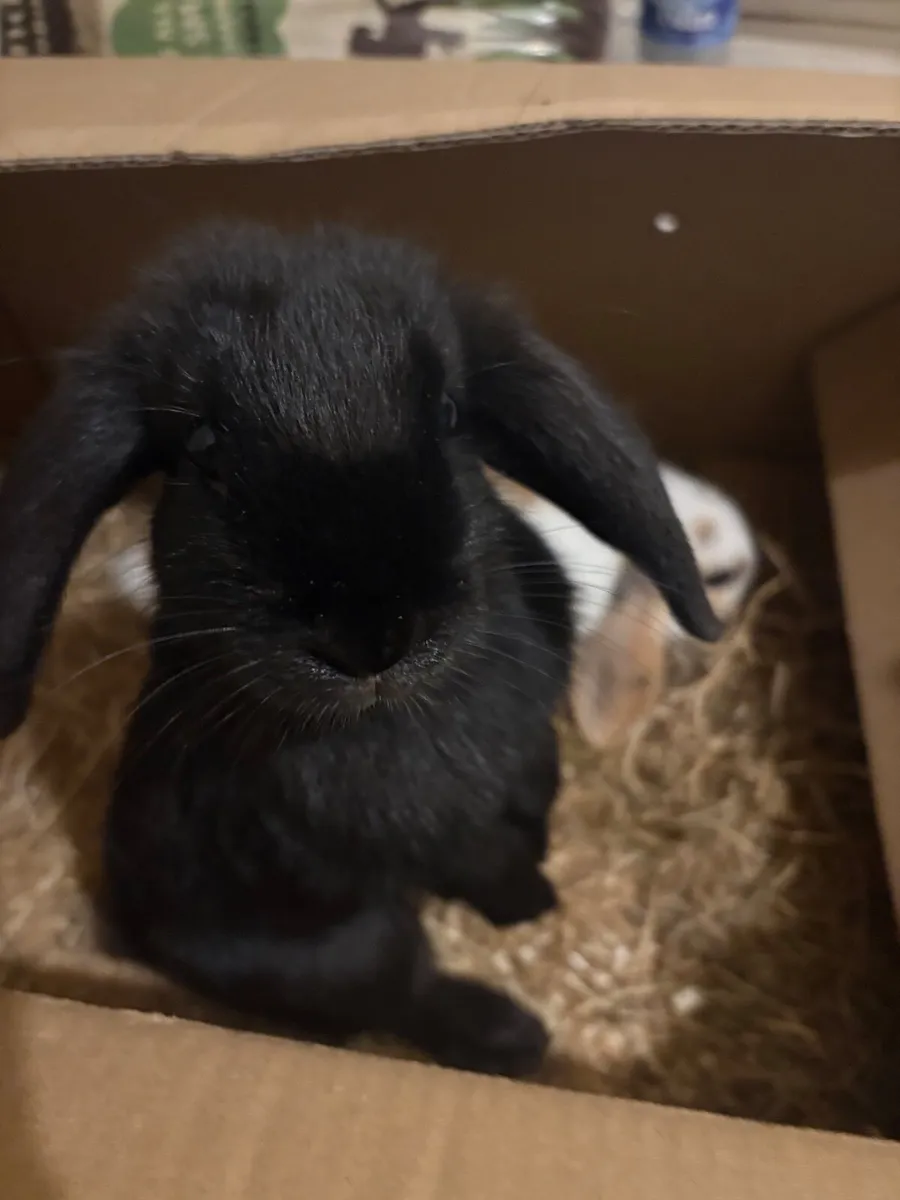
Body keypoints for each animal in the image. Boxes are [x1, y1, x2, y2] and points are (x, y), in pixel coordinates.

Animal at [0, 221, 720, 1077]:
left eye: (449, 412)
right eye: (202, 443)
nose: (372, 635)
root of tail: (137, 933)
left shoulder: (526, 748)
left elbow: (534, 787)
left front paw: (543, 850)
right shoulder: (432, 841)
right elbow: (487, 864)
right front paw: (532, 903)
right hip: (350, 944)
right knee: (404, 992)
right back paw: (516, 1038)